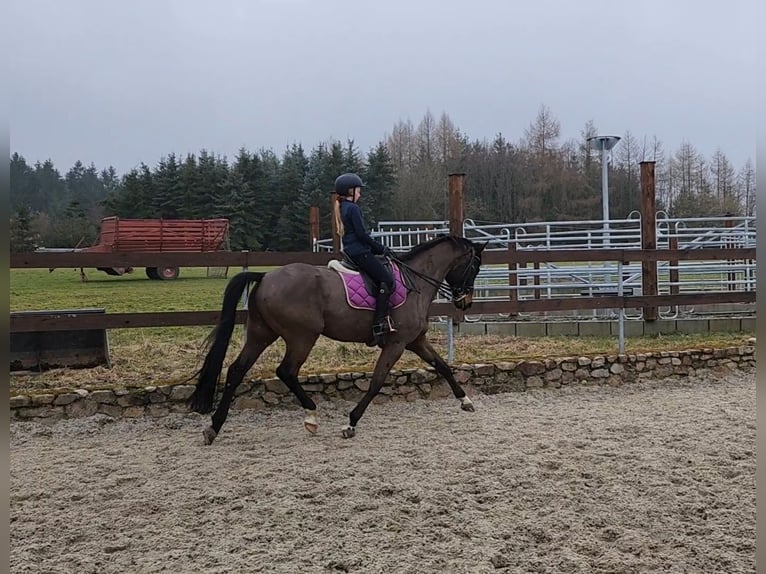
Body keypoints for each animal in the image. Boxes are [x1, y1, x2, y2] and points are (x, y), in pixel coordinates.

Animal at [189, 236, 486, 444]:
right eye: (475, 266)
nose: (466, 302)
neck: (415, 281)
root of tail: (266, 276)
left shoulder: (415, 341)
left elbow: (442, 366)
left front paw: (465, 401)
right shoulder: (397, 344)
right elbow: (377, 381)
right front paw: (351, 423)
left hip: (261, 334)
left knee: (236, 370)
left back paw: (214, 427)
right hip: (302, 337)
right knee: (286, 371)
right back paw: (311, 415)